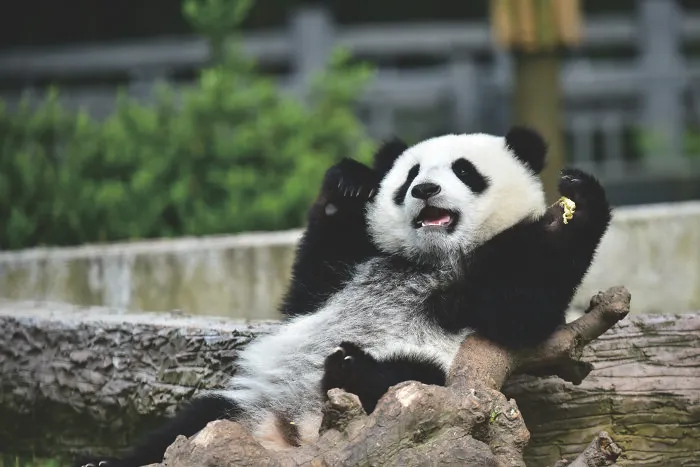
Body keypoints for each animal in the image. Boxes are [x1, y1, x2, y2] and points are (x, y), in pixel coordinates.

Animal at [77, 126, 611, 467]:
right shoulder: (346, 270)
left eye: (464, 170)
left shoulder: (488, 291)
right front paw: (350, 182)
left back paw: (353, 368)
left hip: (429, 378)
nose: (425, 189)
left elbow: (524, 307)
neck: (431, 260)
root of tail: (295, 436)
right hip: (237, 416)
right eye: (409, 174)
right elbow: (309, 284)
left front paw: (579, 204)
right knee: (182, 430)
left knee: (406, 380)